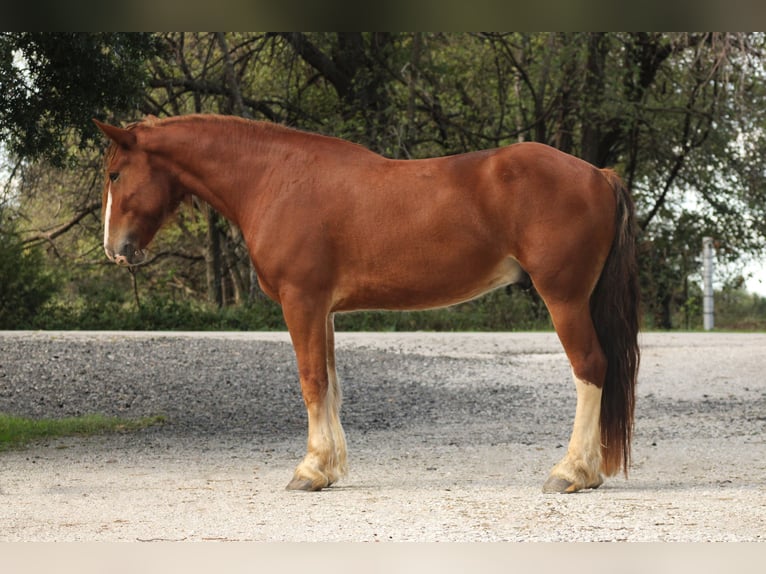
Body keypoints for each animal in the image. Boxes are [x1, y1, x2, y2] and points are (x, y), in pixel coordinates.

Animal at [94, 113, 640, 494]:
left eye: (116, 174)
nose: (114, 248)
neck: (276, 179)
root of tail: (597, 173)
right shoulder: (324, 310)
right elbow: (331, 386)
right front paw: (330, 467)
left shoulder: (301, 301)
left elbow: (311, 382)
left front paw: (309, 470)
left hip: (563, 297)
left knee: (590, 367)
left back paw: (571, 472)